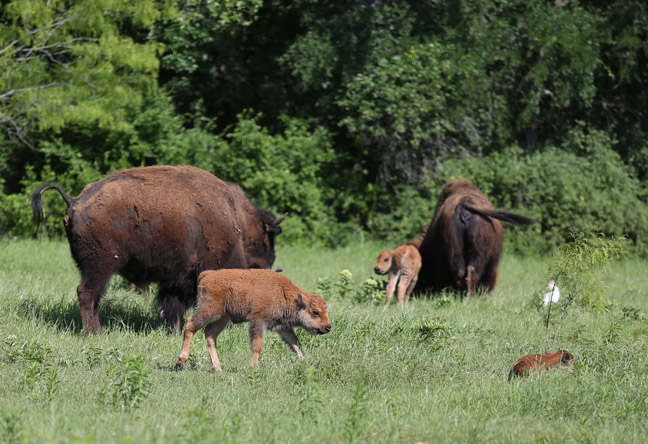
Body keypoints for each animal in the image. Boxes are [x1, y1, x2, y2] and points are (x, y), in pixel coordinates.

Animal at [31, 165, 286, 334]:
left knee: (93, 297)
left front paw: (172, 329)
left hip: (94, 267)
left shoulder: (175, 280)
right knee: (87, 293)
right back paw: (94, 333)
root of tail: (76, 201)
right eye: (268, 238)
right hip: (101, 265)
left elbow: (170, 305)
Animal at [174, 269, 331, 370]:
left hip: (223, 318)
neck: (285, 294)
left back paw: (217, 368)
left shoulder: (282, 326)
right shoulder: (258, 322)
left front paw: (304, 361)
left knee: (210, 335)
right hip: (208, 311)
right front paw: (252, 367)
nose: (327, 327)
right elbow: (257, 345)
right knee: (190, 326)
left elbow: (294, 343)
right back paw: (180, 361)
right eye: (316, 312)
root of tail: (206, 275)